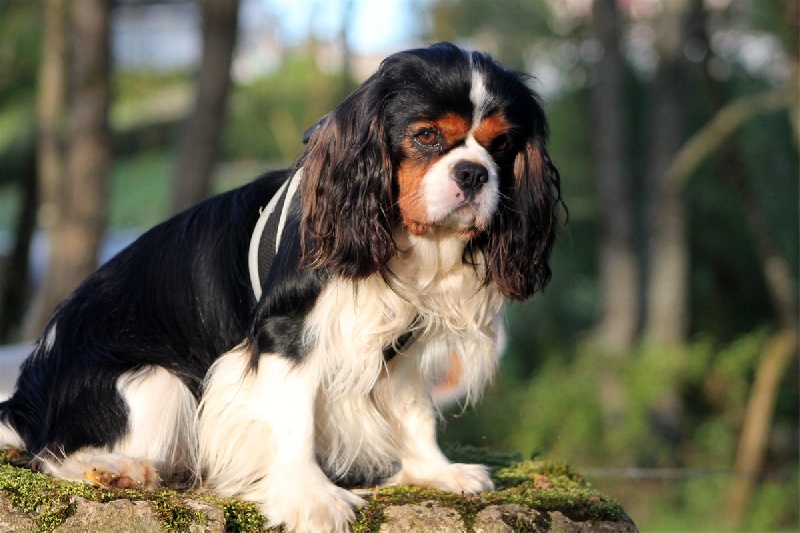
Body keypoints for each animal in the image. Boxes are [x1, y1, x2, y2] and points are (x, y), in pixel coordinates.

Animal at [0, 42, 564, 532]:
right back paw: (115, 468)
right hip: (154, 384)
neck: (405, 241)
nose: (474, 173)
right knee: (51, 453)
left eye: (501, 145)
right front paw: (309, 497)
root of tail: (23, 400)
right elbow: (295, 419)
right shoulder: (286, 333)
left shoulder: (402, 344)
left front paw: (434, 471)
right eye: (426, 136)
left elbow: (415, 411)